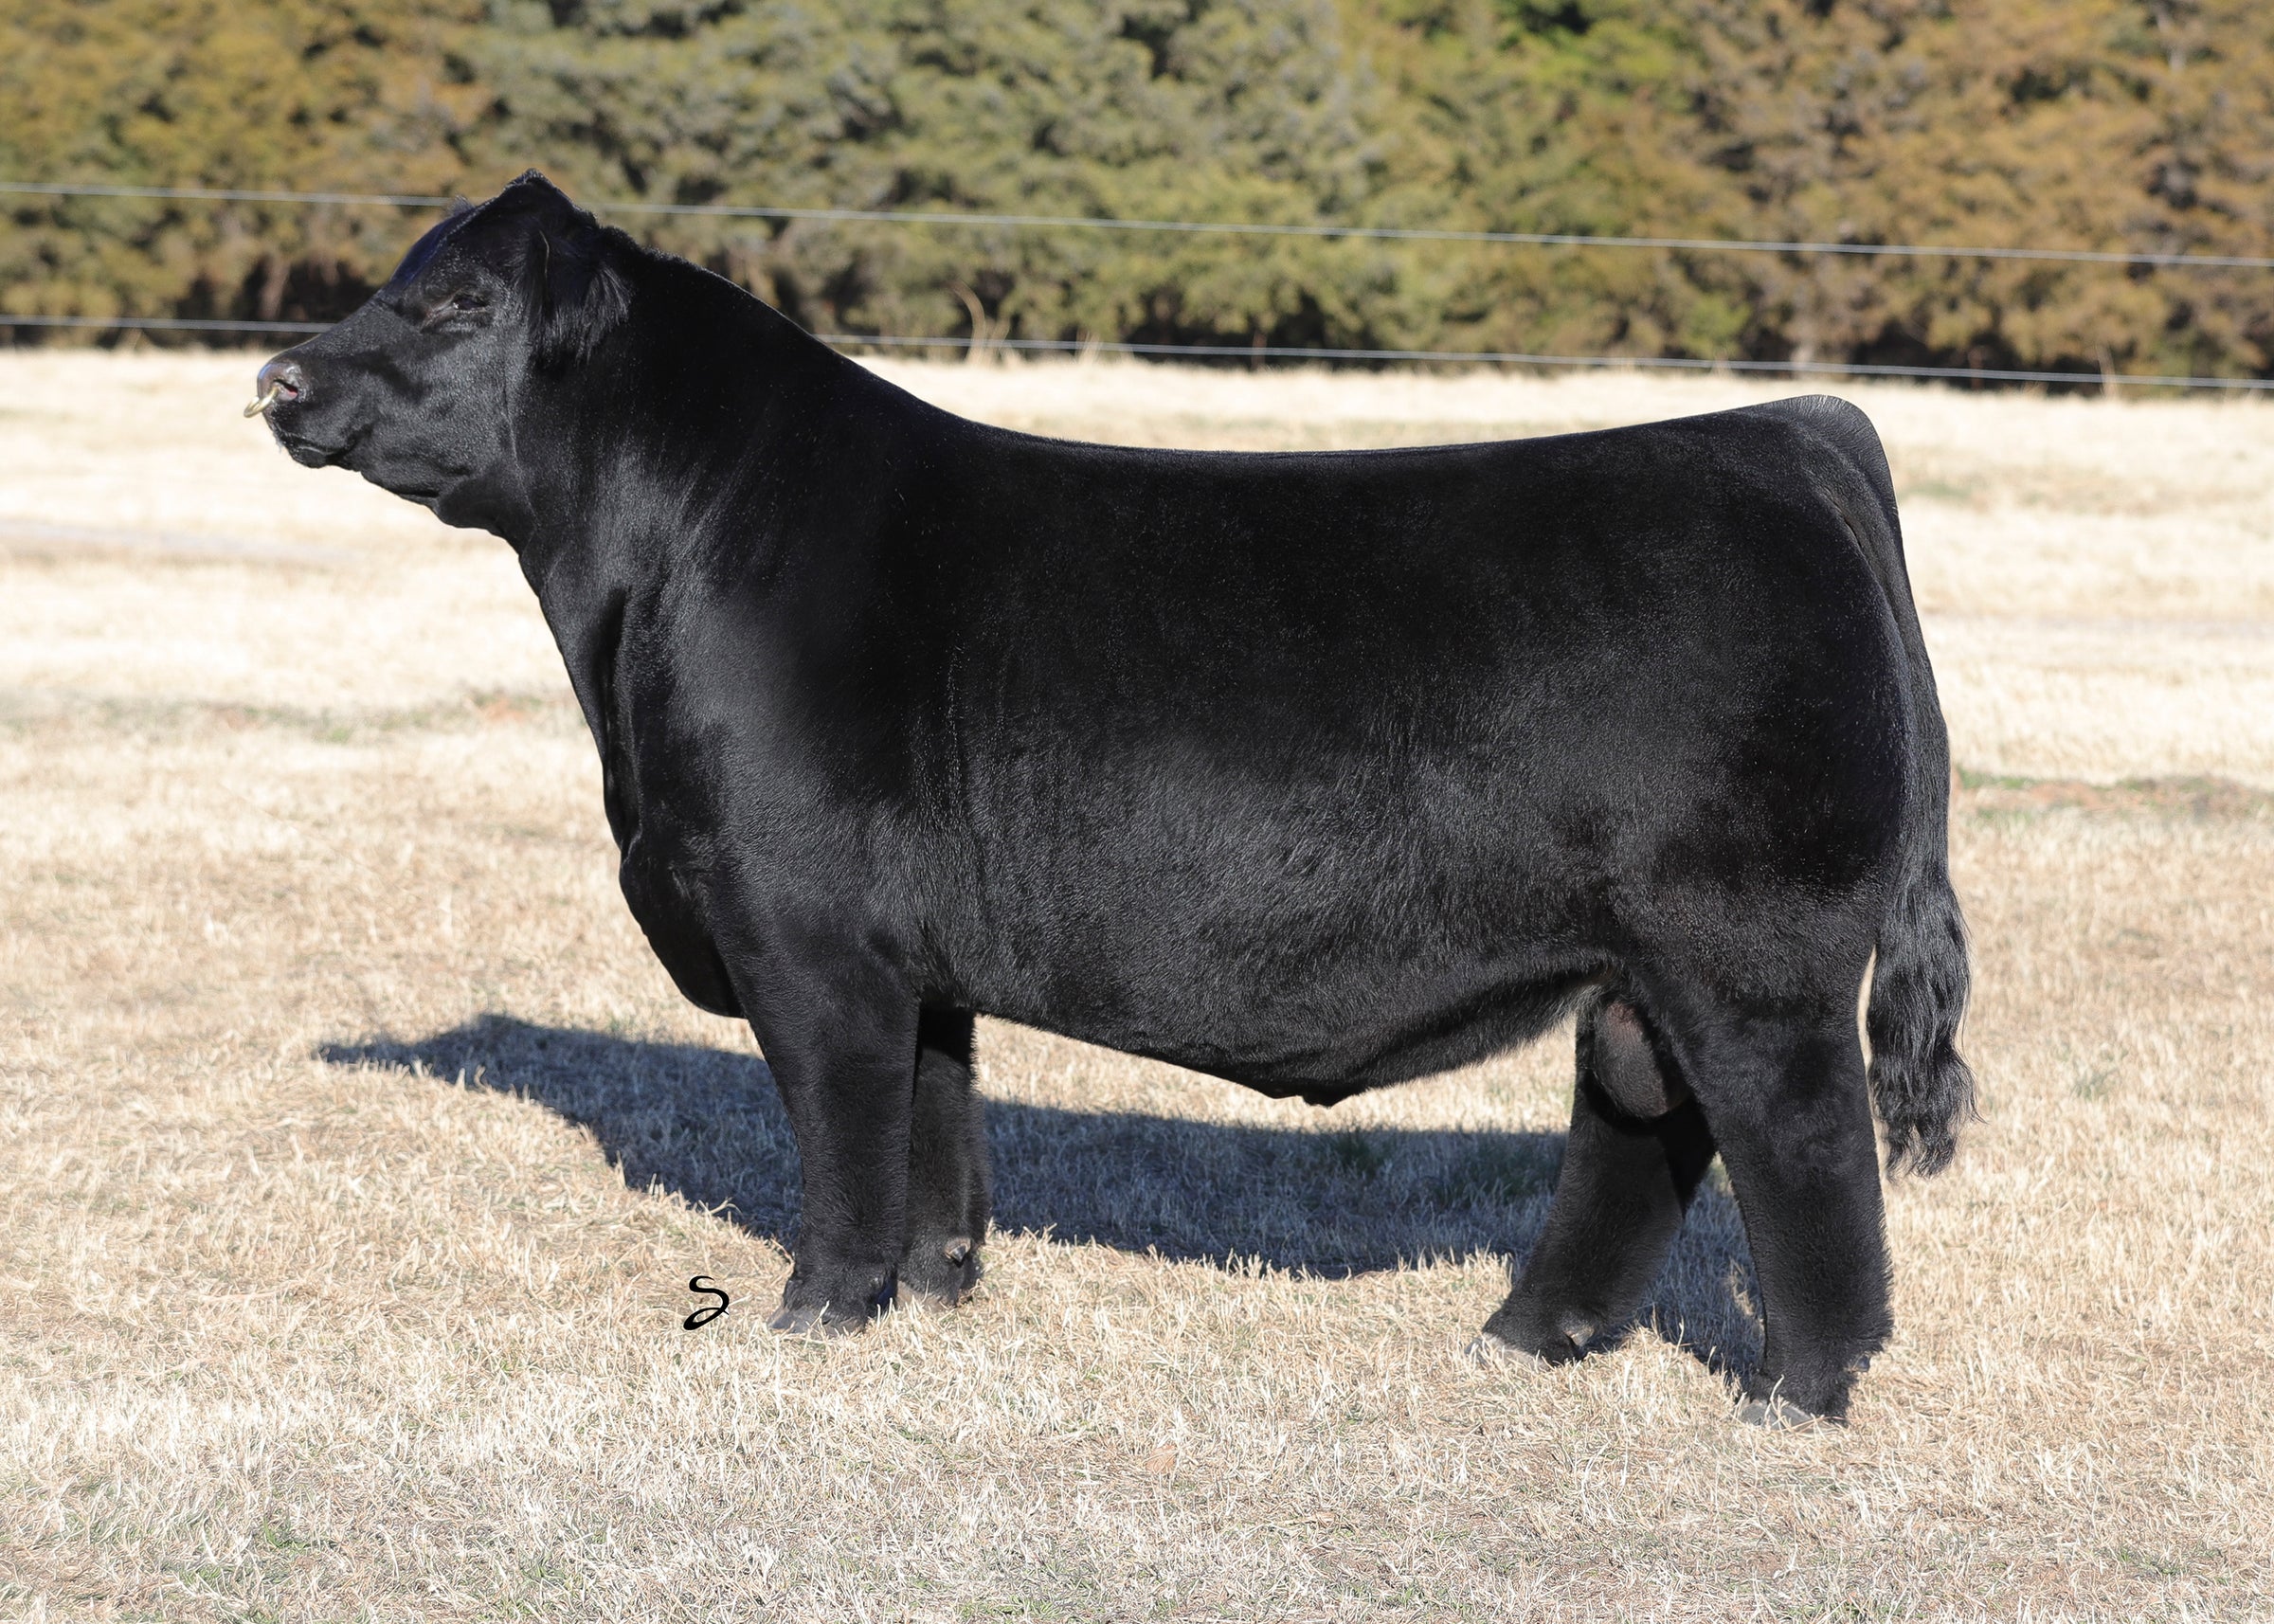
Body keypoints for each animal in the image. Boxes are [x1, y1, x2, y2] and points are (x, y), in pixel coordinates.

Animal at [253, 172, 1974, 1426]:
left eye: (459, 299)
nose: (278, 373)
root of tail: (1788, 432)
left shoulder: (800, 930)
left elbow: (843, 1132)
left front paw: (816, 1311)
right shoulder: (913, 953)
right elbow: (937, 1126)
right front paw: (934, 1289)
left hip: (1754, 956)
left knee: (1807, 1148)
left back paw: (1799, 1394)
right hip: (1640, 968)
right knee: (1641, 1127)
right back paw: (1524, 1338)